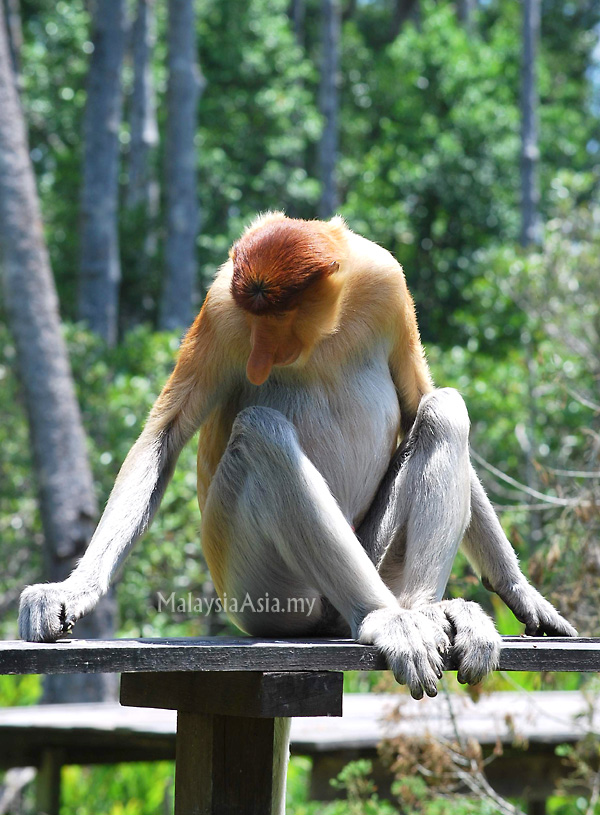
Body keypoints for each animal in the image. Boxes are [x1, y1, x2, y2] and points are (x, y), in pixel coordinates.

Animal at [17, 214, 576, 700]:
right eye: (254, 322)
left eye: (281, 317)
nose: (259, 360)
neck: (331, 326)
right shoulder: (222, 309)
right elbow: (164, 438)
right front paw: (72, 589)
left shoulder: (388, 281)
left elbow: (419, 396)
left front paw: (522, 592)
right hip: (262, 588)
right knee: (262, 433)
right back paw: (387, 621)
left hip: (372, 555)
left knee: (443, 409)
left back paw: (426, 612)